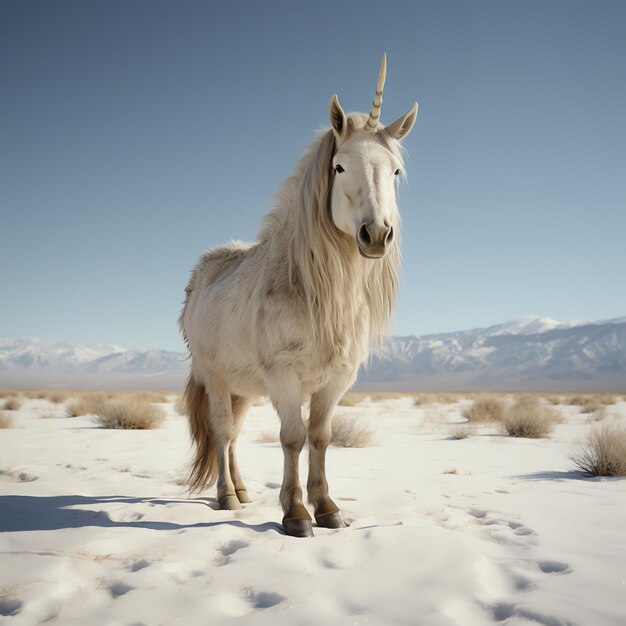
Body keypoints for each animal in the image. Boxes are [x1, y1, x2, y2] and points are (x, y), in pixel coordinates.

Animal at [179, 53, 414, 532]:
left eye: (395, 171)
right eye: (339, 166)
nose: (377, 235)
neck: (312, 289)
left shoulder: (338, 379)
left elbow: (321, 437)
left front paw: (327, 508)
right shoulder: (283, 376)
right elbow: (291, 437)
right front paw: (295, 514)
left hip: (244, 385)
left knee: (234, 436)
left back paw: (243, 490)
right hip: (216, 378)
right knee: (223, 432)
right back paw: (227, 497)